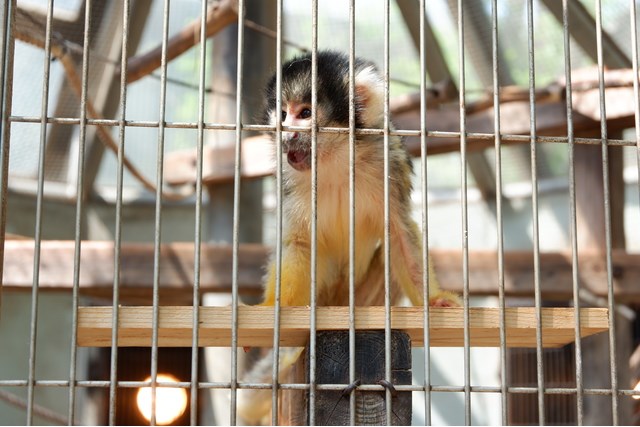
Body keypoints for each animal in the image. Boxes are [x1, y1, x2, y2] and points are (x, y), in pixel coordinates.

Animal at [260, 51, 460, 310]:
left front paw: (433, 300)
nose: (287, 135)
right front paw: (272, 307)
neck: (337, 158)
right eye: (283, 115)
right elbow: (299, 242)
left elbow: (399, 233)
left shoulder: (389, 160)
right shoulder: (287, 177)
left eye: (305, 114)